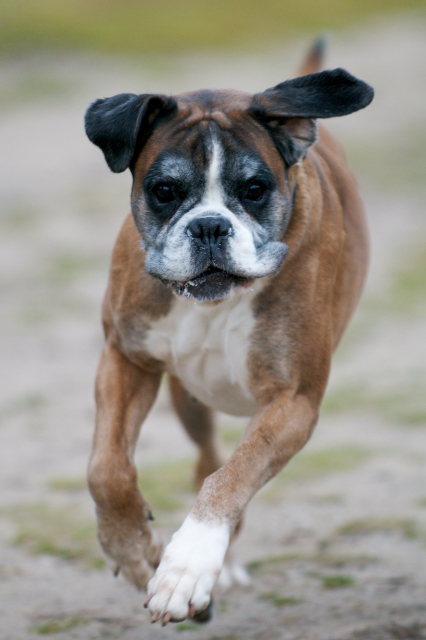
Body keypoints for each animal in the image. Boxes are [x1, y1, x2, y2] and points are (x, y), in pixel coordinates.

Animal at [85, 45, 372, 624]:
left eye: (255, 190)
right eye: (164, 191)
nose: (209, 226)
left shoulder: (292, 402)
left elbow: (232, 477)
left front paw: (186, 567)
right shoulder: (127, 360)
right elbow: (107, 470)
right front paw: (132, 553)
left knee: (215, 468)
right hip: (188, 400)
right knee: (203, 456)